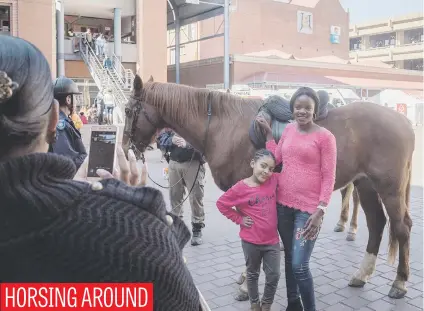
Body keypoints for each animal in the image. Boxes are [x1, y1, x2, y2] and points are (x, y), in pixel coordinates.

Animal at [123, 76, 414, 300]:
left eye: (127, 111)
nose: (126, 147)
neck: (223, 126)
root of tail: (403, 120)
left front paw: (245, 281)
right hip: (366, 185)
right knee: (377, 224)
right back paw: (362, 274)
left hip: (389, 188)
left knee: (401, 227)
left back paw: (399, 283)